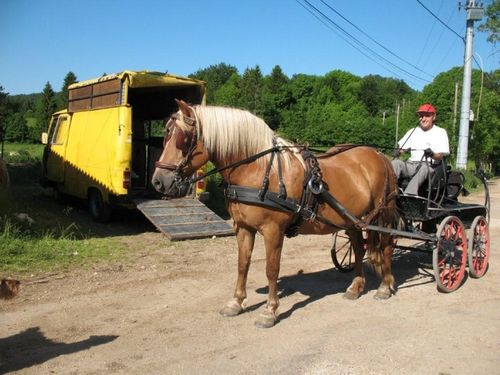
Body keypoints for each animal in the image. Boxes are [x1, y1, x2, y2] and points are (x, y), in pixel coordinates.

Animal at [150, 100, 396, 328]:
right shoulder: (243, 227)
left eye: (183, 138)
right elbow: (243, 264)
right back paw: (356, 287)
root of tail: (379, 155)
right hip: (352, 220)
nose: (158, 181)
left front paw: (269, 311)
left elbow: (271, 269)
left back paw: (385, 286)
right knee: (359, 247)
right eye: (166, 134)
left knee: (385, 246)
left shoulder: (272, 230)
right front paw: (236, 303)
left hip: (383, 215)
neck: (257, 169)